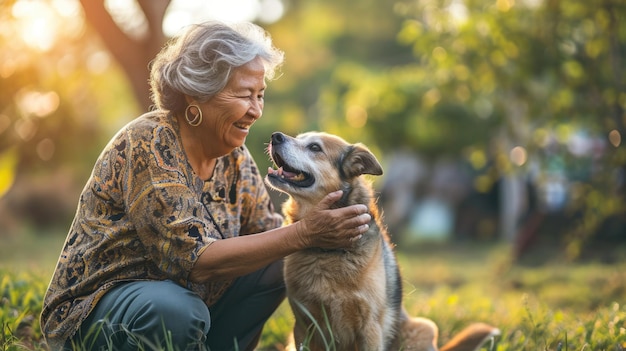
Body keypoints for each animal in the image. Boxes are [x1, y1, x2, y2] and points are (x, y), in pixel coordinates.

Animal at [264, 133, 498, 351]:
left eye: (314, 147)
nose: (276, 136)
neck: (328, 251)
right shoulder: (303, 325)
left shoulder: (370, 326)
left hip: (422, 328)